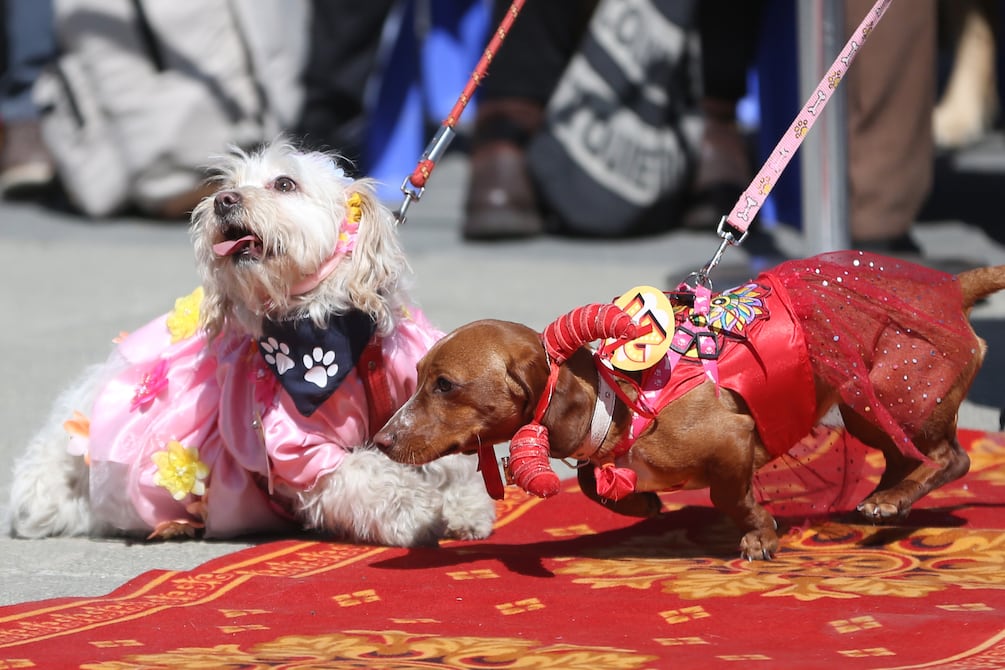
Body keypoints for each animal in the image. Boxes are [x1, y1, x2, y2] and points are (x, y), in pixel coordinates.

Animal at [7, 138, 494, 546]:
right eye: (227, 186)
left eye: (284, 183)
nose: (223, 201)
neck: (336, 332)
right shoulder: (301, 448)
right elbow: (365, 475)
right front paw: (415, 511)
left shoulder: (422, 400)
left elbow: (449, 460)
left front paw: (466, 508)